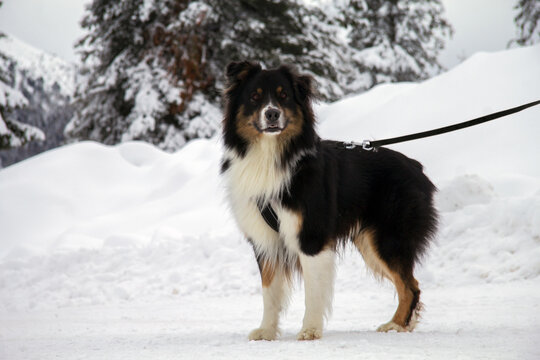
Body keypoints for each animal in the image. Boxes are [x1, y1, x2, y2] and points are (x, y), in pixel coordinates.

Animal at [219, 61, 438, 340]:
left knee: (410, 285)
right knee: (411, 284)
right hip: (369, 242)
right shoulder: (264, 240)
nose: (272, 114)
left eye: (283, 96)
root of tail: (416, 167)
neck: (271, 155)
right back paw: (403, 324)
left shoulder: (311, 237)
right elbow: (269, 291)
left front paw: (310, 330)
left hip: (387, 239)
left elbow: (313, 292)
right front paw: (267, 331)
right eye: (255, 97)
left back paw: (396, 325)